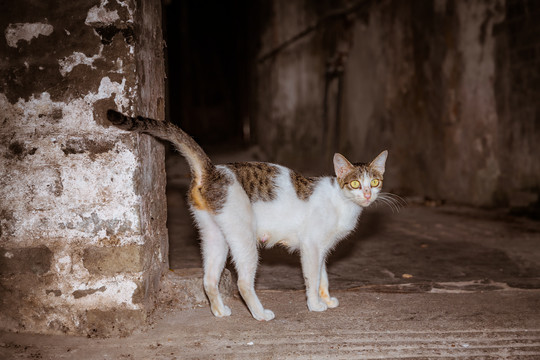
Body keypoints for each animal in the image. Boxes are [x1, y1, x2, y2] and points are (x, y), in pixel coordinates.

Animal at [107, 109, 390, 320]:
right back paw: (260, 314)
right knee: (243, 281)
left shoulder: (322, 248)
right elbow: (312, 277)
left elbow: (324, 276)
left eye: (375, 182)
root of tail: (212, 171)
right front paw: (315, 305)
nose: (367, 195)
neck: (343, 203)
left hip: (214, 235)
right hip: (244, 236)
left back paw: (220, 311)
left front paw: (327, 299)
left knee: (209, 278)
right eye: (355, 184)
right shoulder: (311, 246)